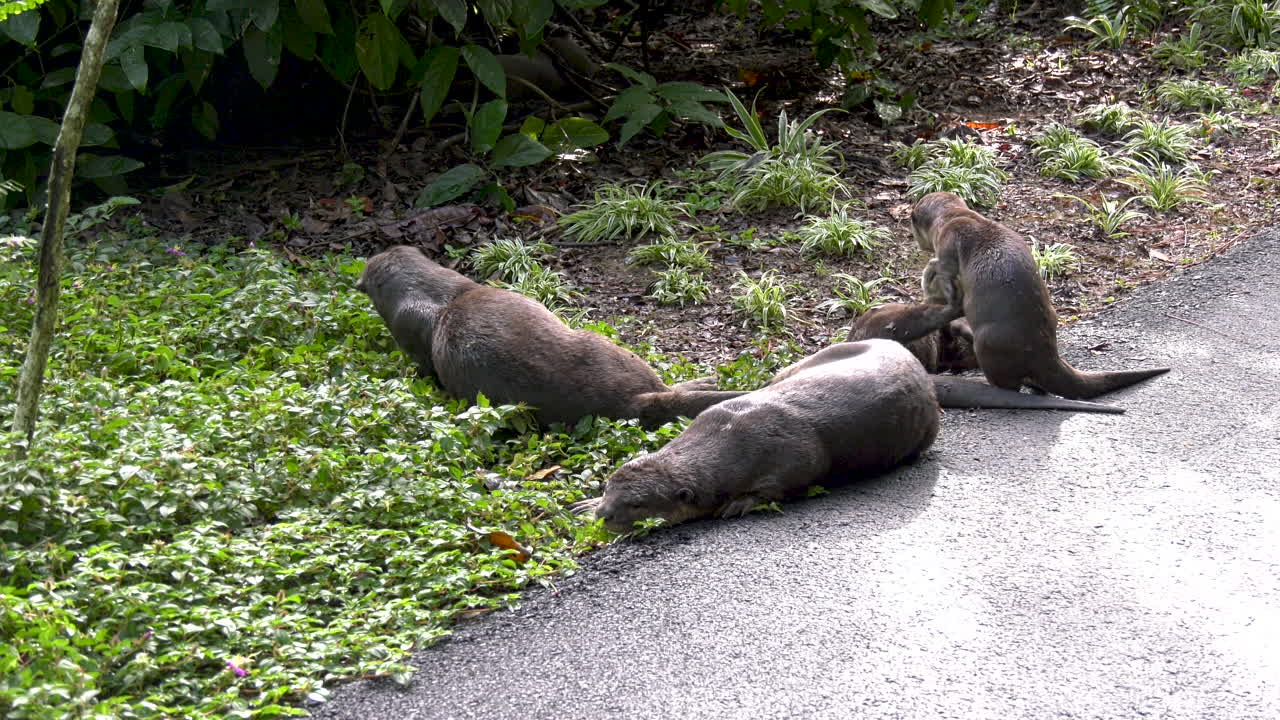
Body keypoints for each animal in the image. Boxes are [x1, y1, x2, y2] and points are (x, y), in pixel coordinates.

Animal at [574, 340, 941, 533]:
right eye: (608, 488)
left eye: (637, 504)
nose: (604, 514)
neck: (734, 433)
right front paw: (585, 504)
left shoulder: (796, 456)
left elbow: (782, 484)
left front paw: (740, 503)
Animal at [912, 192, 1170, 399]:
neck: (951, 217)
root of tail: (1045, 354)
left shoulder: (947, 242)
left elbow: (945, 270)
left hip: (987, 341)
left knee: (1008, 384)